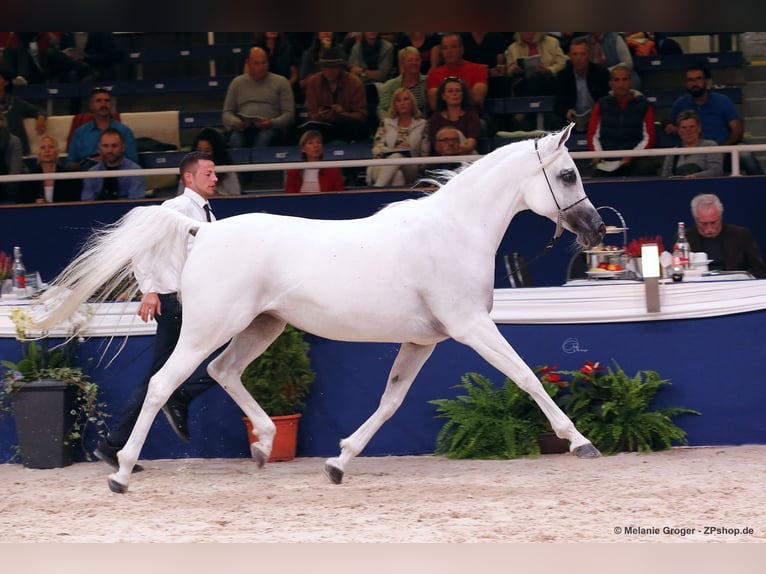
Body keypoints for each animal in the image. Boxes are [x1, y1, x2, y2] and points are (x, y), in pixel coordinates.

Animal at [34, 126, 608, 496]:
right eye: (567, 175)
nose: (598, 229)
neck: (454, 231)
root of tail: (202, 230)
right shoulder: (471, 326)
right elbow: (527, 377)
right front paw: (581, 442)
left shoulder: (423, 340)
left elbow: (389, 402)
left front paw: (338, 463)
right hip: (207, 328)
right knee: (162, 385)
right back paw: (120, 472)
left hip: (261, 326)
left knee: (222, 371)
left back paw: (264, 445)